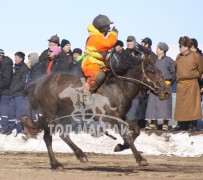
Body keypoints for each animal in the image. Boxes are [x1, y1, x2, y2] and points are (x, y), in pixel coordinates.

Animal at [23, 48, 170, 169]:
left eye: (160, 71)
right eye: (152, 72)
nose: (167, 92)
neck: (119, 87)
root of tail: (38, 83)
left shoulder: (122, 115)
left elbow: (136, 131)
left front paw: (120, 146)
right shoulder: (111, 117)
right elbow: (126, 134)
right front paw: (140, 159)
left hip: (64, 115)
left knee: (63, 135)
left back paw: (75, 156)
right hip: (50, 116)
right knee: (49, 138)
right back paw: (59, 162)